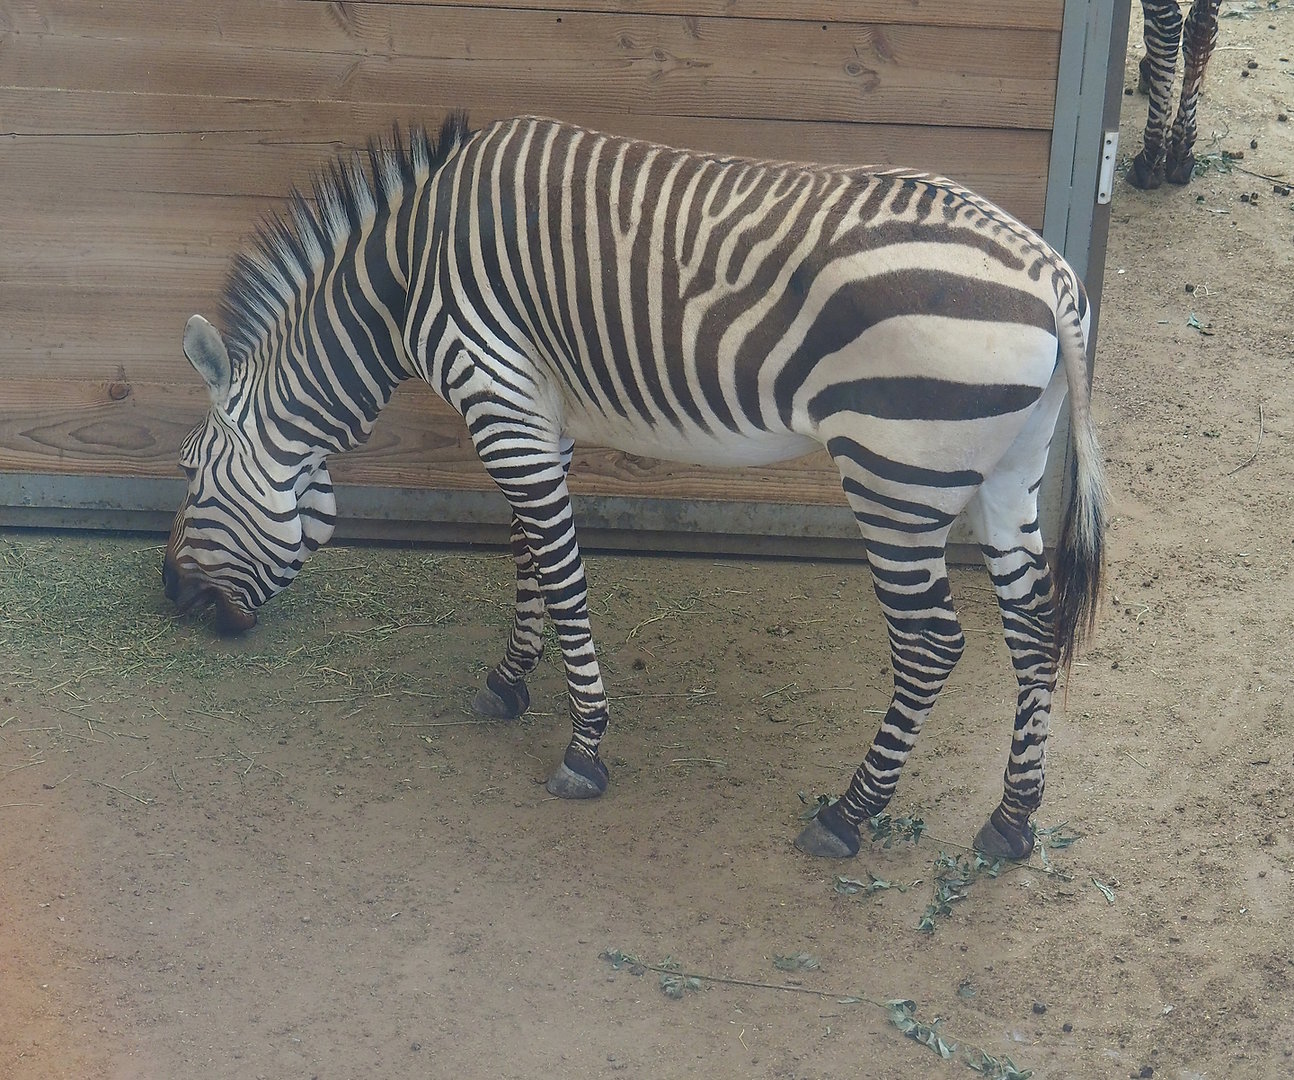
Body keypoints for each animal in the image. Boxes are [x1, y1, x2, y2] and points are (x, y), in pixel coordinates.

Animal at [163, 113, 1107, 862]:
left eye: (190, 472)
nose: (170, 595)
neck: (405, 274)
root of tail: (1051, 274)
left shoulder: (499, 402)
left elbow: (563, 574)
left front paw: (584, 746)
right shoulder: (534, 416)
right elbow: (526, 550)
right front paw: (509, 680)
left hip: (895, 476)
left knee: (932, 644)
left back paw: (849, 813)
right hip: (1010, 474)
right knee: (1034, 624)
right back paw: (1013, 819)